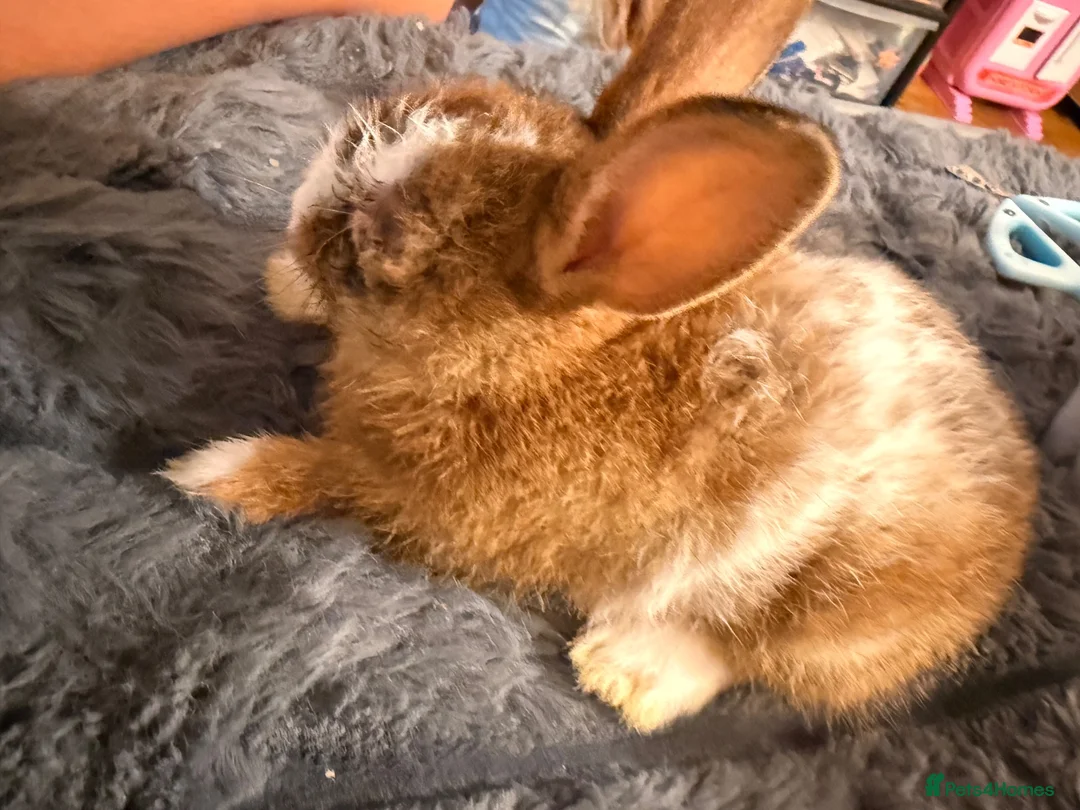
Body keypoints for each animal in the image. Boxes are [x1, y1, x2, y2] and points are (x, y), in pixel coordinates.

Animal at [165, 0, 1038, 732]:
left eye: (383, 237)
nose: (295, 218)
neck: (533, 370)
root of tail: (1016, 530)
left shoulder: (425, 509)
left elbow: (328, 477)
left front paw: (214, 472)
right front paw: (284, 284)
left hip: (826, 604)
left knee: (753, 658)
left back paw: (627, 673)